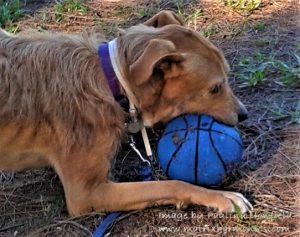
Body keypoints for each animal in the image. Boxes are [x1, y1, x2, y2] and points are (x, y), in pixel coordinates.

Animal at [0, 10, 251, 217]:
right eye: (216, 88)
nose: (244, 115)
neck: (111, 81)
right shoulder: (85, 194)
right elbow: (171, 184)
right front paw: (220, 196)